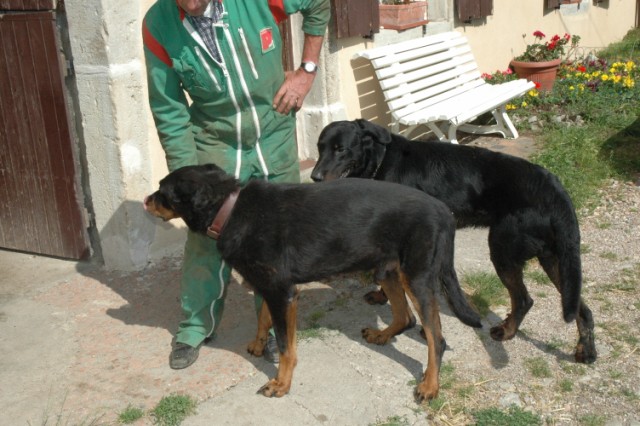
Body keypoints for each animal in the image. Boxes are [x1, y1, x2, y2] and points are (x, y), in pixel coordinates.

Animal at [144, 162, 480, 400]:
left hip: (417, 278)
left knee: (436, 338)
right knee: (406, 317)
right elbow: (263, 317)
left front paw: (281, 383)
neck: (229, 210)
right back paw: (382, 335)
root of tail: (443, 212)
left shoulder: (282, 292)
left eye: (163, 192)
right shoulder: (269, 286)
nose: (145, 201)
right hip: (387, 269)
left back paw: (430, 385)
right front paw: (258, 344)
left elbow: (285, 345)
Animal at [312, 118, 596, 364]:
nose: (314, 177)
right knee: (581, 307)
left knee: (524, 299)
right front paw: (383, 295)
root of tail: (557, 192)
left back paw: (507, 332)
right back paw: (586, 350)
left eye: (341, 149)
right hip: (554, 258)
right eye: (319, 148)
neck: (381, 161)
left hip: (503, 250)